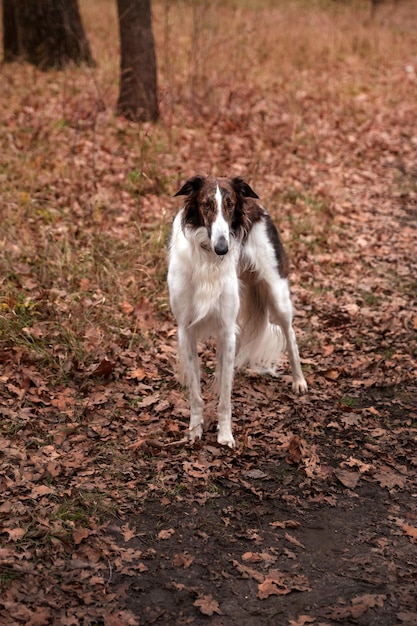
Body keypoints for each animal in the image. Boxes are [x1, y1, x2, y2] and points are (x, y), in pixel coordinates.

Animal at [167, 176, 308, 446]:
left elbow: (225, 395)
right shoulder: (186, 330)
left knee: (290, 334)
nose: (222, 248)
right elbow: (196, 393)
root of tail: (257, 206)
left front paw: (224, 434)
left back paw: (299, 380)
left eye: (230, 205)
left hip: (277, 292)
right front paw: (195, 430)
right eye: (207, 205)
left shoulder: (225, 329)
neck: (208, 260)